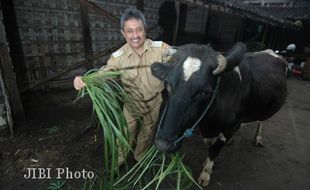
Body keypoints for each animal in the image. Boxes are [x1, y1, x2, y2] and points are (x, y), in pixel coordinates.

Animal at [151, 42, 286, 186]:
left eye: (205, 92)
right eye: (167, 84)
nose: (163, 144)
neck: (209, 123)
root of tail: (270, 51)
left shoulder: (229, 129)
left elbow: (214, 151)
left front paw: (206, 173)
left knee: (262, 121)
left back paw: (258, 138)